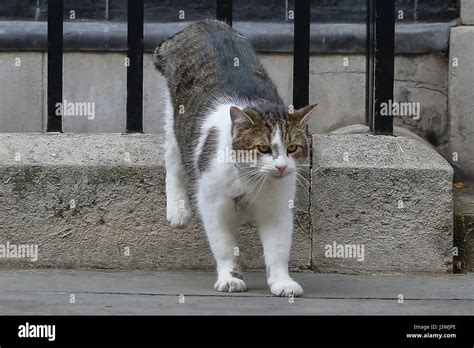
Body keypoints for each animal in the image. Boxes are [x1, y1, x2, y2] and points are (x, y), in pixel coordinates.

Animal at [155, 19, 314, 296]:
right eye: (263, 148)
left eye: (293, 148)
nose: (282, 167)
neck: (251, 180)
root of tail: (204, 22)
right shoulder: (214, 203)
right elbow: (224, 244)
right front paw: (230, 277)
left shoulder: (278, 206)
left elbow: (278, 248)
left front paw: (282, 281)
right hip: (175, 120)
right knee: (174, 161)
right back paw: (178, 209)